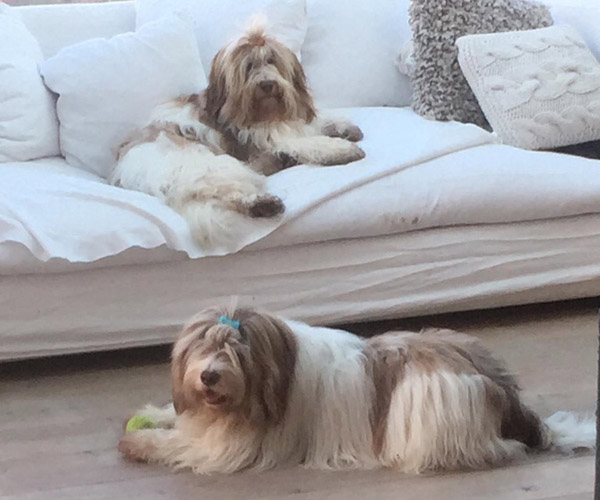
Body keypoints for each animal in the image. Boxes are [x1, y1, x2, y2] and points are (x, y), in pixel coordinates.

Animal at [111, 22, 365, 250]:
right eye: (249, 66)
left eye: (272, 61)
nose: (267, 84)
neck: (266, 114)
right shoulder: (271, 137)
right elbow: (310, 142)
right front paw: (343, 149)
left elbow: (316, 123)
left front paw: (345, 128)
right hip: (210, 165)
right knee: (227, 191)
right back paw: (264, 202)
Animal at [118, 306, 595, 474]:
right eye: (203, 348)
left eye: (236, 352)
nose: (209, 377)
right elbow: (181, 422)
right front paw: (155, 415)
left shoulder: (238, 446)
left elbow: (186, 446)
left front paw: (139, 442)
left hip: (428, 413)